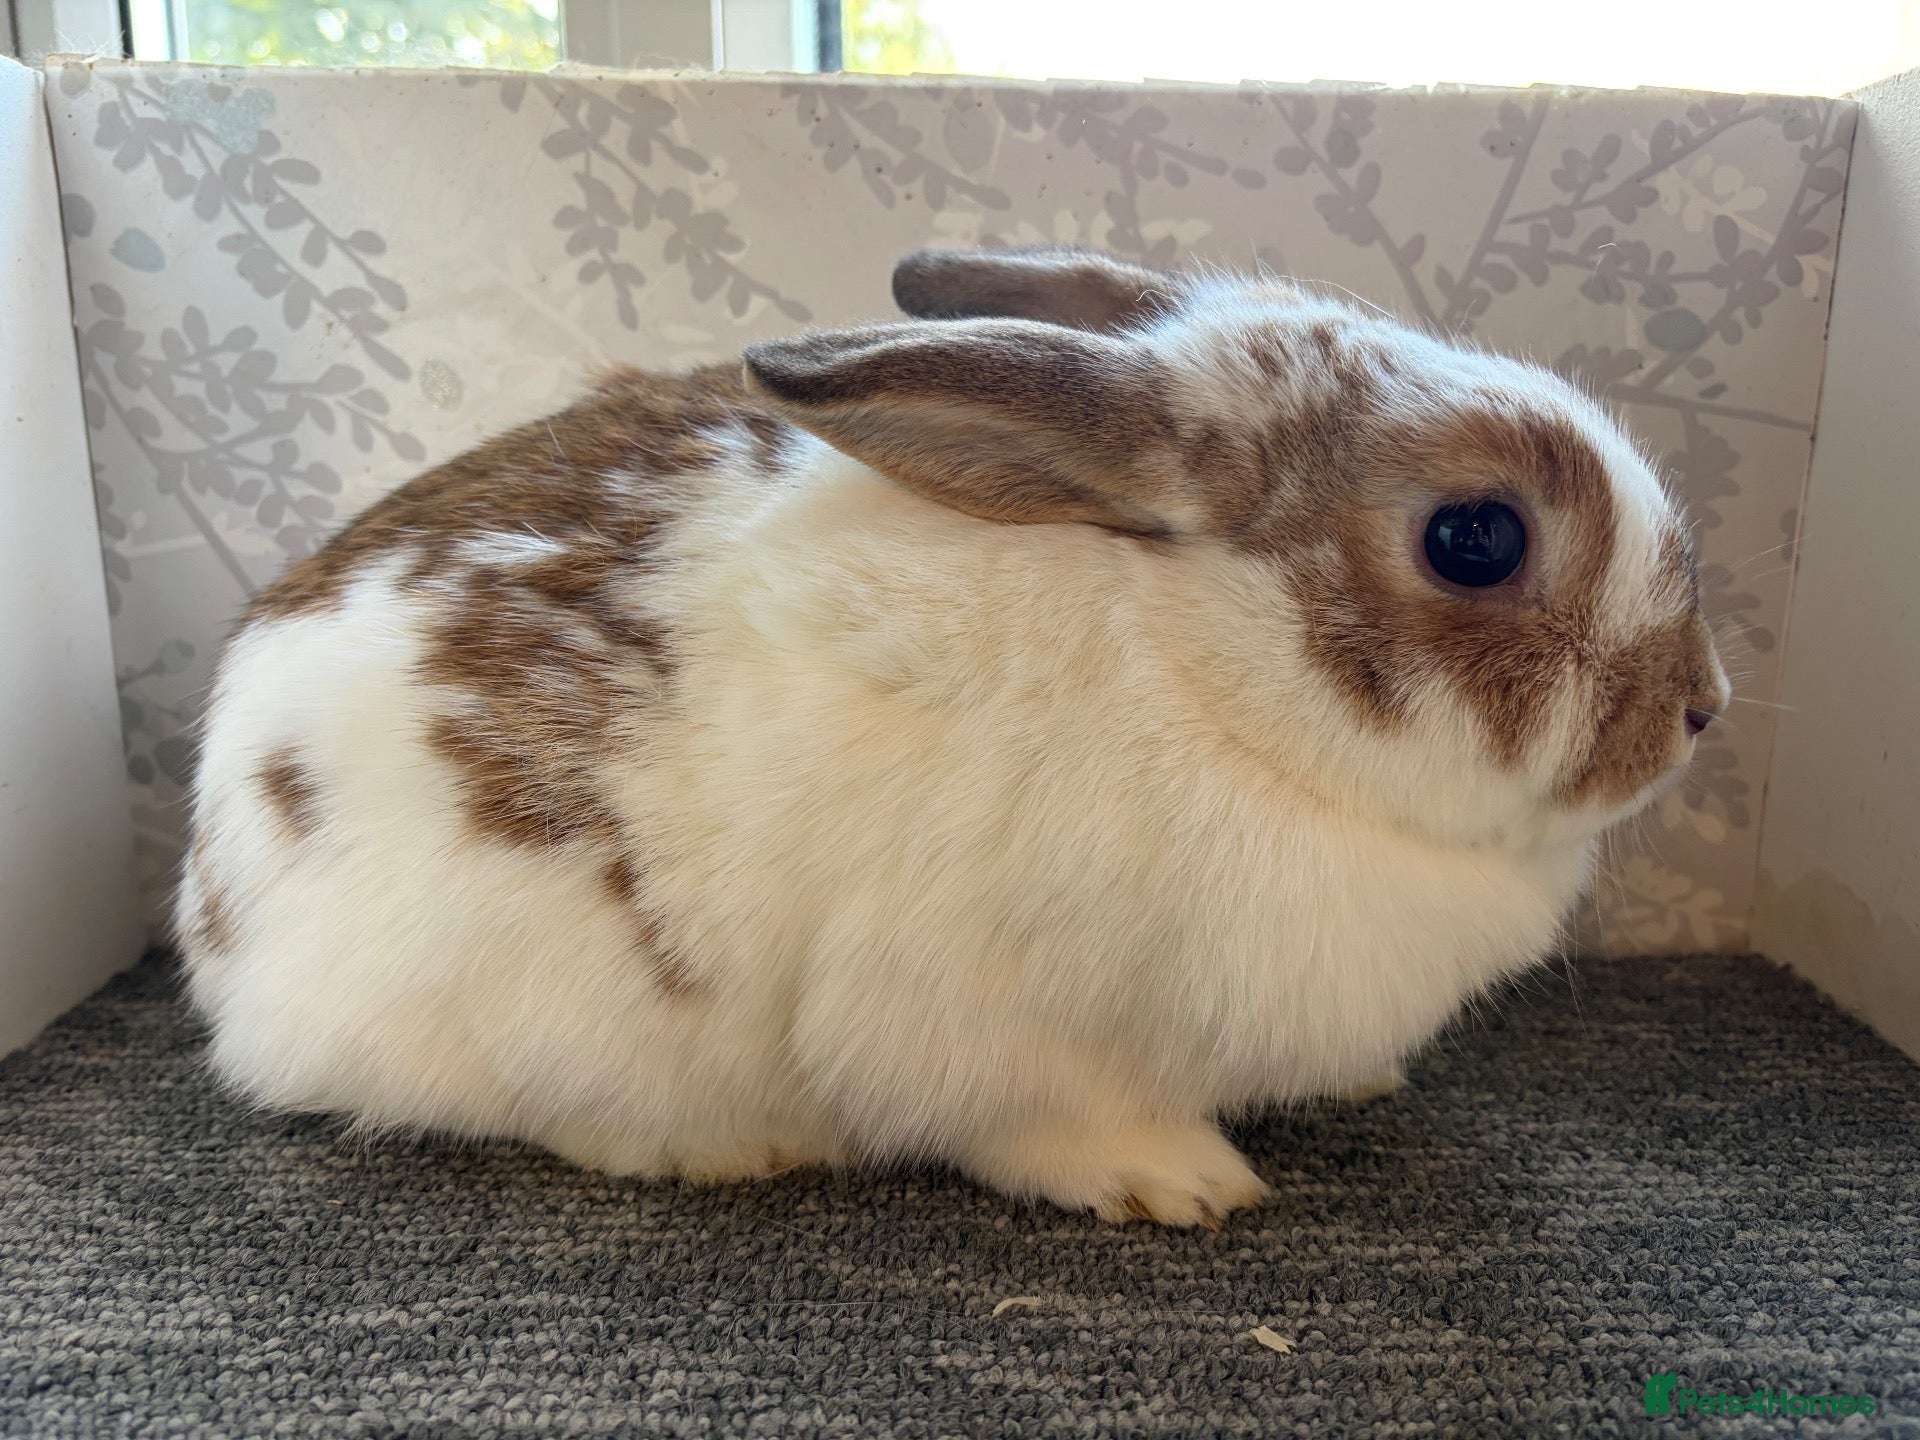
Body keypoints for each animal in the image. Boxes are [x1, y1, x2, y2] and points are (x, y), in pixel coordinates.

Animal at [175, 244, 1728, 1228]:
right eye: (1477, 539)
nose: (1699, 711)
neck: (1211, 674)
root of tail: (212, 918)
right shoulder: (980, 1023)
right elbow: (1043, 1122)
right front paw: (1180, 1182)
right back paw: (719, 1147)